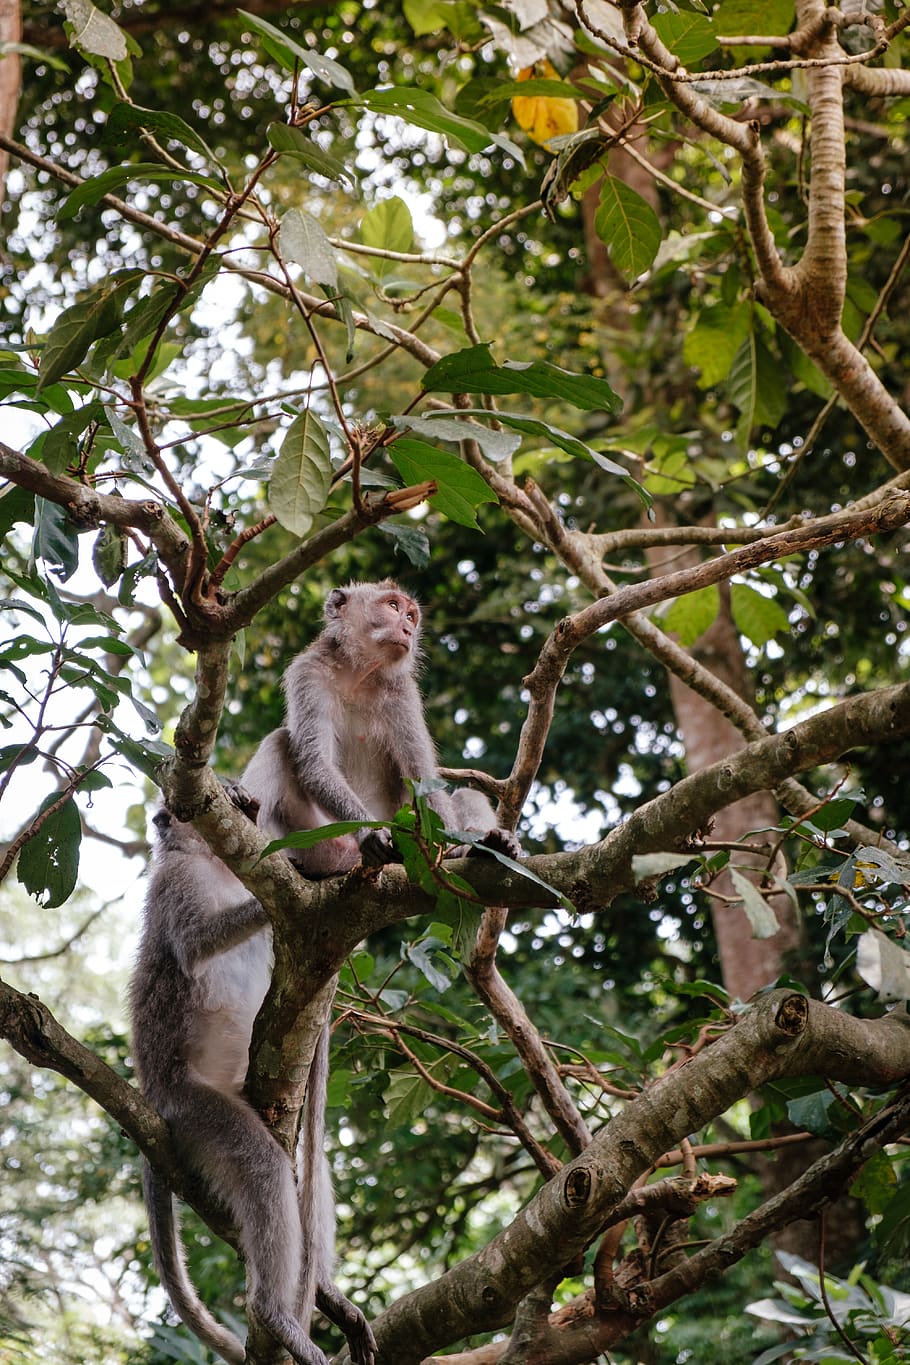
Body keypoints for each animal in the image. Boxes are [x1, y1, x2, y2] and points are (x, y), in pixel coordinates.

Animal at [129, 803, 376, 1365]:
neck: (216, 866)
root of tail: (154, 1100)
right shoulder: (175, 881)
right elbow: (197, 941)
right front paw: (299, 878)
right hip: (190, 1109)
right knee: (261, 1163)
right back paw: (274, 1314)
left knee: (309, 1163)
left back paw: (323, 1294)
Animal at [242, 579, 521, 876]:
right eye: (393, 606)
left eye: (411, 616)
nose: (408, 630)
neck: (359, 675)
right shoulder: (308, 674)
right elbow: (316, 762)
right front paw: (370, 832)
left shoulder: (403, 694)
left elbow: (422, 776)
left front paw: (452, 848)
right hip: (319, 844)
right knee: (280, 740)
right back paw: (244, 805)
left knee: (468, 794)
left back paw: (490, 845)